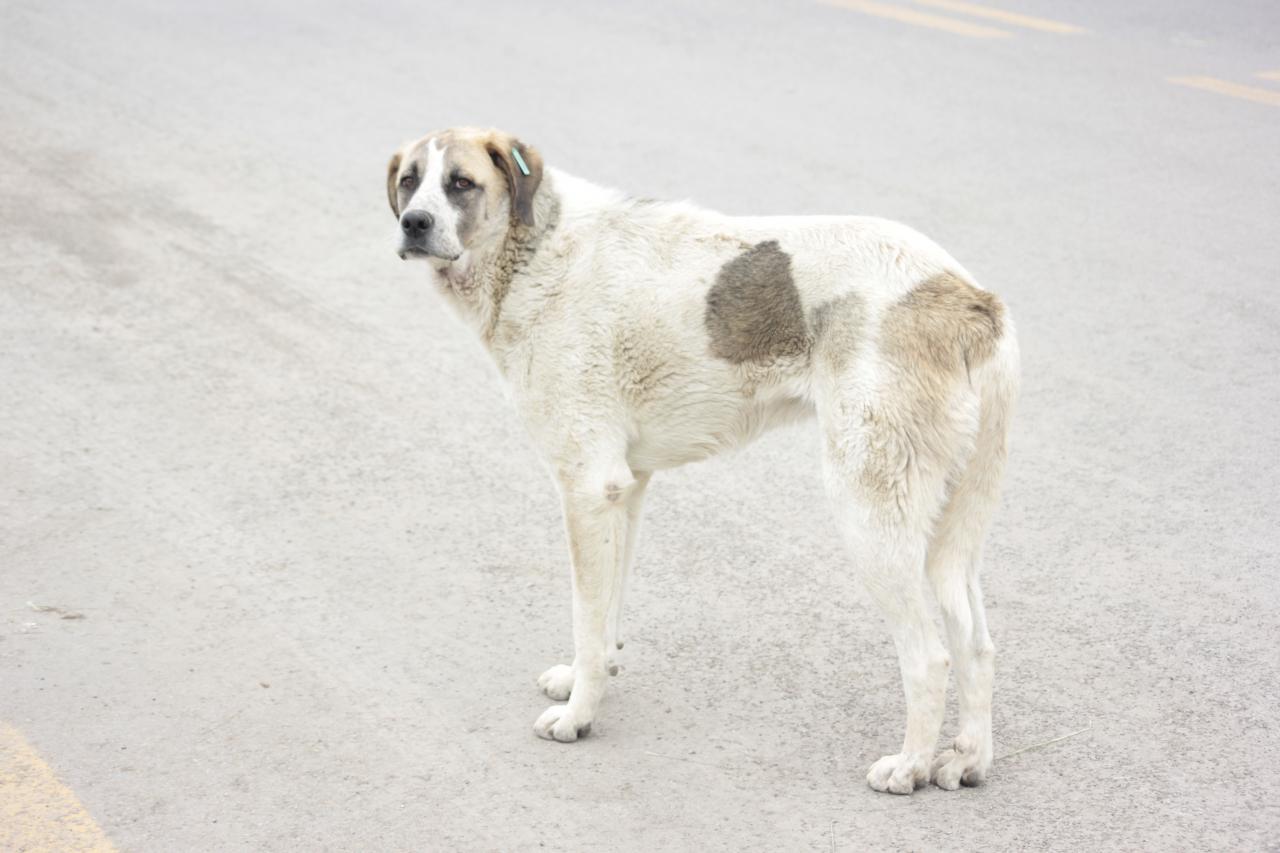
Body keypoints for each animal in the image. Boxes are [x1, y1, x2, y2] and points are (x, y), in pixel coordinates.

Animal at [386, 126, 1018, 788]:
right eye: (409, 181)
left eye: (461, 183)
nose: (414, 223)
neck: (536, 247)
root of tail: (971, 298)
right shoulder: (625, 489)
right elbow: (605, 617)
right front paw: (585, 684)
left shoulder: (586, 490)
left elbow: (588, 619)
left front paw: (579, 716)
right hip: (951, 534)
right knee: (976, 645)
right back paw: (967, 758)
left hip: (870, 517)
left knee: (930, 657)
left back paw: (909, 766)